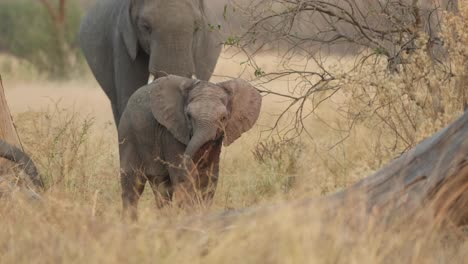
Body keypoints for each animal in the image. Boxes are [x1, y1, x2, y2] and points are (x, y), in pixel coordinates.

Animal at [119, 73, 262, 219]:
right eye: (188, 116)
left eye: (223, 118)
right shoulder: (171, 132)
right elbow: (184, 175)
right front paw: (192, 215)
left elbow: (208, 175)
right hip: (128, 134)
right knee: (133, 184)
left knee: (161, 187)